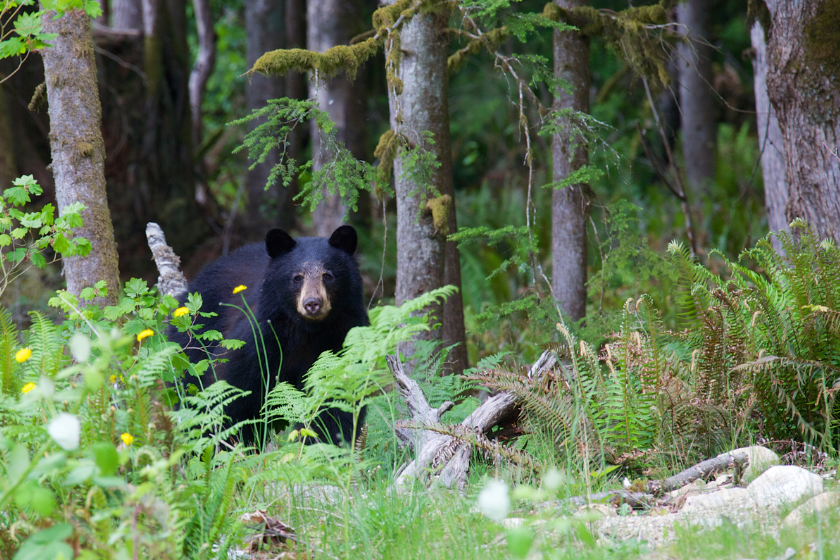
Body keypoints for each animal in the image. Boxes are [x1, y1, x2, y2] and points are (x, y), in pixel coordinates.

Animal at [168, 224, 368, 446]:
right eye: (297, 277)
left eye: (328, 275)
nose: (312, 303)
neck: (306, 331)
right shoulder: (260, 342)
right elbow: (231, 393)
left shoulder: (342, 338)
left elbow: (335, 400)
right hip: (195, 339)